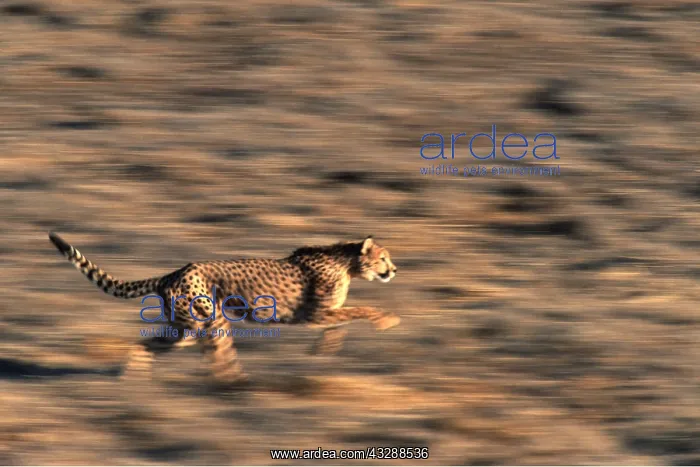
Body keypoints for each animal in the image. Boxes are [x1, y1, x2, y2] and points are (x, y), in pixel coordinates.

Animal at [48, 232, 399, 386]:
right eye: (383, 258)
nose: (395, 270)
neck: (347, 262)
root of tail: (172, 272)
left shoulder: (320, 315)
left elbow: (341, 323)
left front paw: (322, 352)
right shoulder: (314, 314)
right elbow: (360, 310)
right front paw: (387, 320)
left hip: (183, 330)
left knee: (150, 344)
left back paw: (132, 376)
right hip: (209, 320)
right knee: (219, 355)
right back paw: (238, 386)